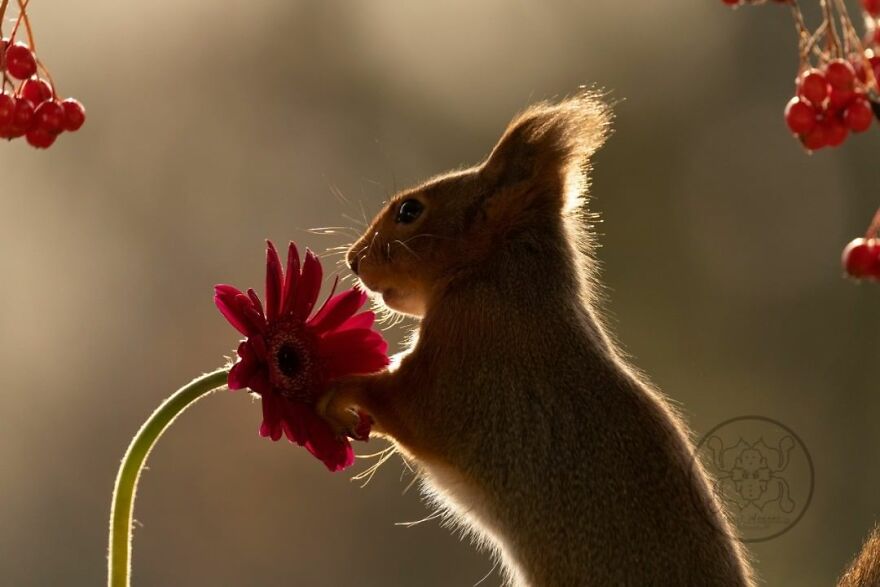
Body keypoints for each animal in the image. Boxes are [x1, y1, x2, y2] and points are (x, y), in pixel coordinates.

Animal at [317, 92, 880, 586]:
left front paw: (333, 387)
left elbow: (400, 401)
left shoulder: (462, 372)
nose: (354, 259)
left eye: (410, 211)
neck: (496, 276)